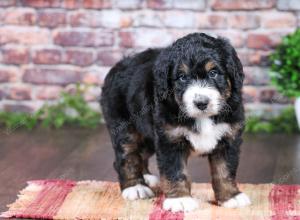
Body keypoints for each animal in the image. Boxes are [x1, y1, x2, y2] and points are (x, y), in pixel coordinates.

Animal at [100, 33, 251, 212]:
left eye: (213, 73)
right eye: (182, 77)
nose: (201, 103)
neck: (202, 118)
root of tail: (117, 66)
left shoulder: (228, 137)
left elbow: (224, 171)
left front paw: (231, 196)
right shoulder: (170, 139)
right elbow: (175, 171)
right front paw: (180, 199)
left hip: (149, 134)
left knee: (141, 153)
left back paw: (147, 177)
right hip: (124, 127)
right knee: (127, 156)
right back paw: (135, 187)